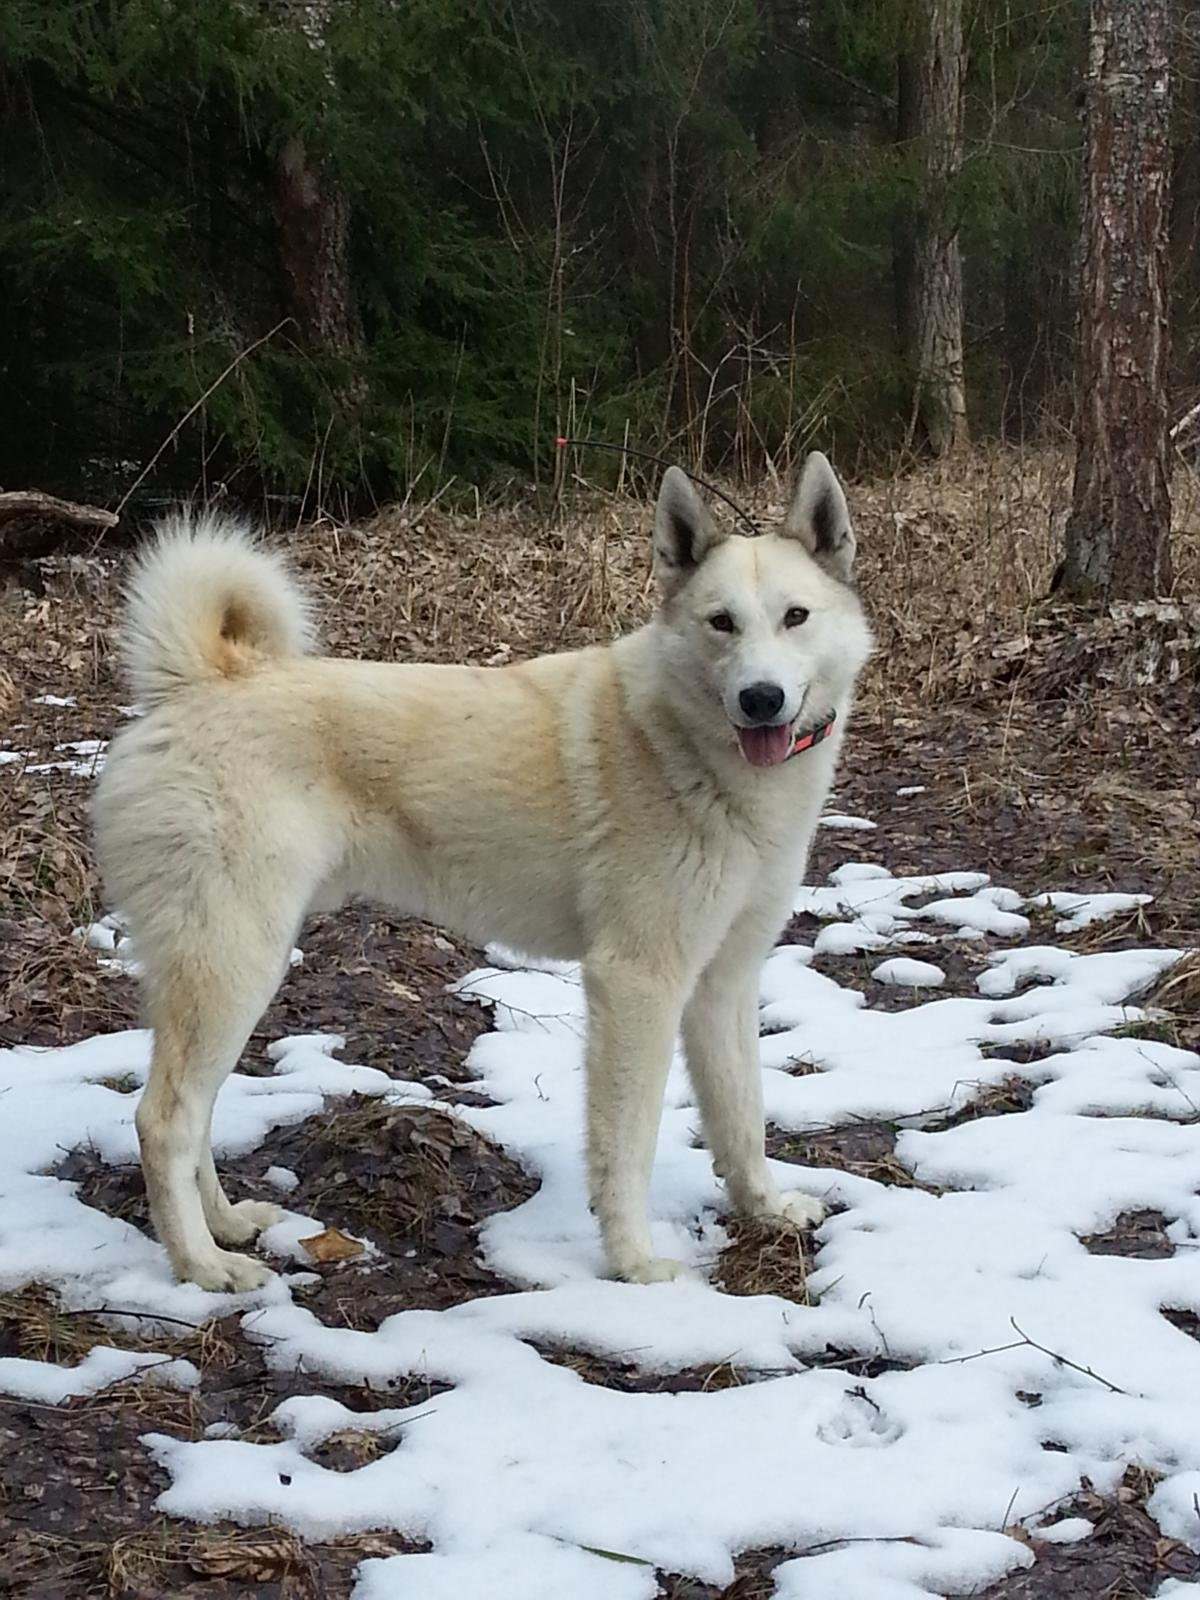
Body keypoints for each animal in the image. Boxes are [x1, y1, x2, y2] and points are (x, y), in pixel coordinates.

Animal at [89, 451, 870, 1286]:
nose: (761, 699)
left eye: (796, 617)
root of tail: (199, 681)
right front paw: (633, 1263)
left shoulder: (723, 984)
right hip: (235, 966)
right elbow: (627, 1147)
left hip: (227, 974)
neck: (690, 748)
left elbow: (744, 1120)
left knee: (193, 1115)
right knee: (164, 1120)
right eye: (721, 622)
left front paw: (766, 1209)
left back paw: (228, 1225)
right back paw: (203, 1267)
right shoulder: (637, 984)